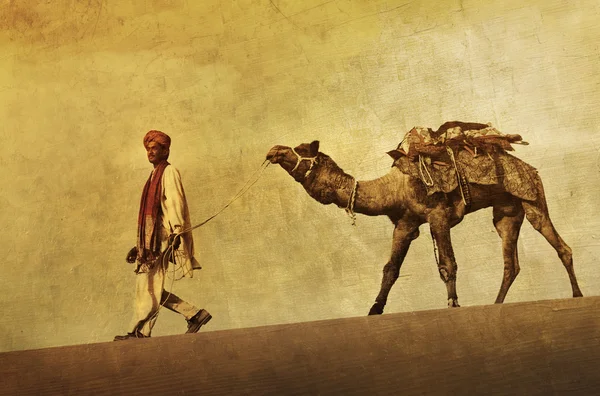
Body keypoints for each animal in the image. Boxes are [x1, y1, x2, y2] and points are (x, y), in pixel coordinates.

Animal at [266, 131, 580, 314]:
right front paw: (374, 310)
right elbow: (390, 269)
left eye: (299, 150)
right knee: (510, 264)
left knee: (560, 245)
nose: (274, 150)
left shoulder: (437, 215)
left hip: (532, 197)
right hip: (506, 213)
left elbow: (448, 264)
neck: (394, 188)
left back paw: (577, 295)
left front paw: (453, 304)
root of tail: (531, 169)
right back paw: (496, 304)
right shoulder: (406, 224)